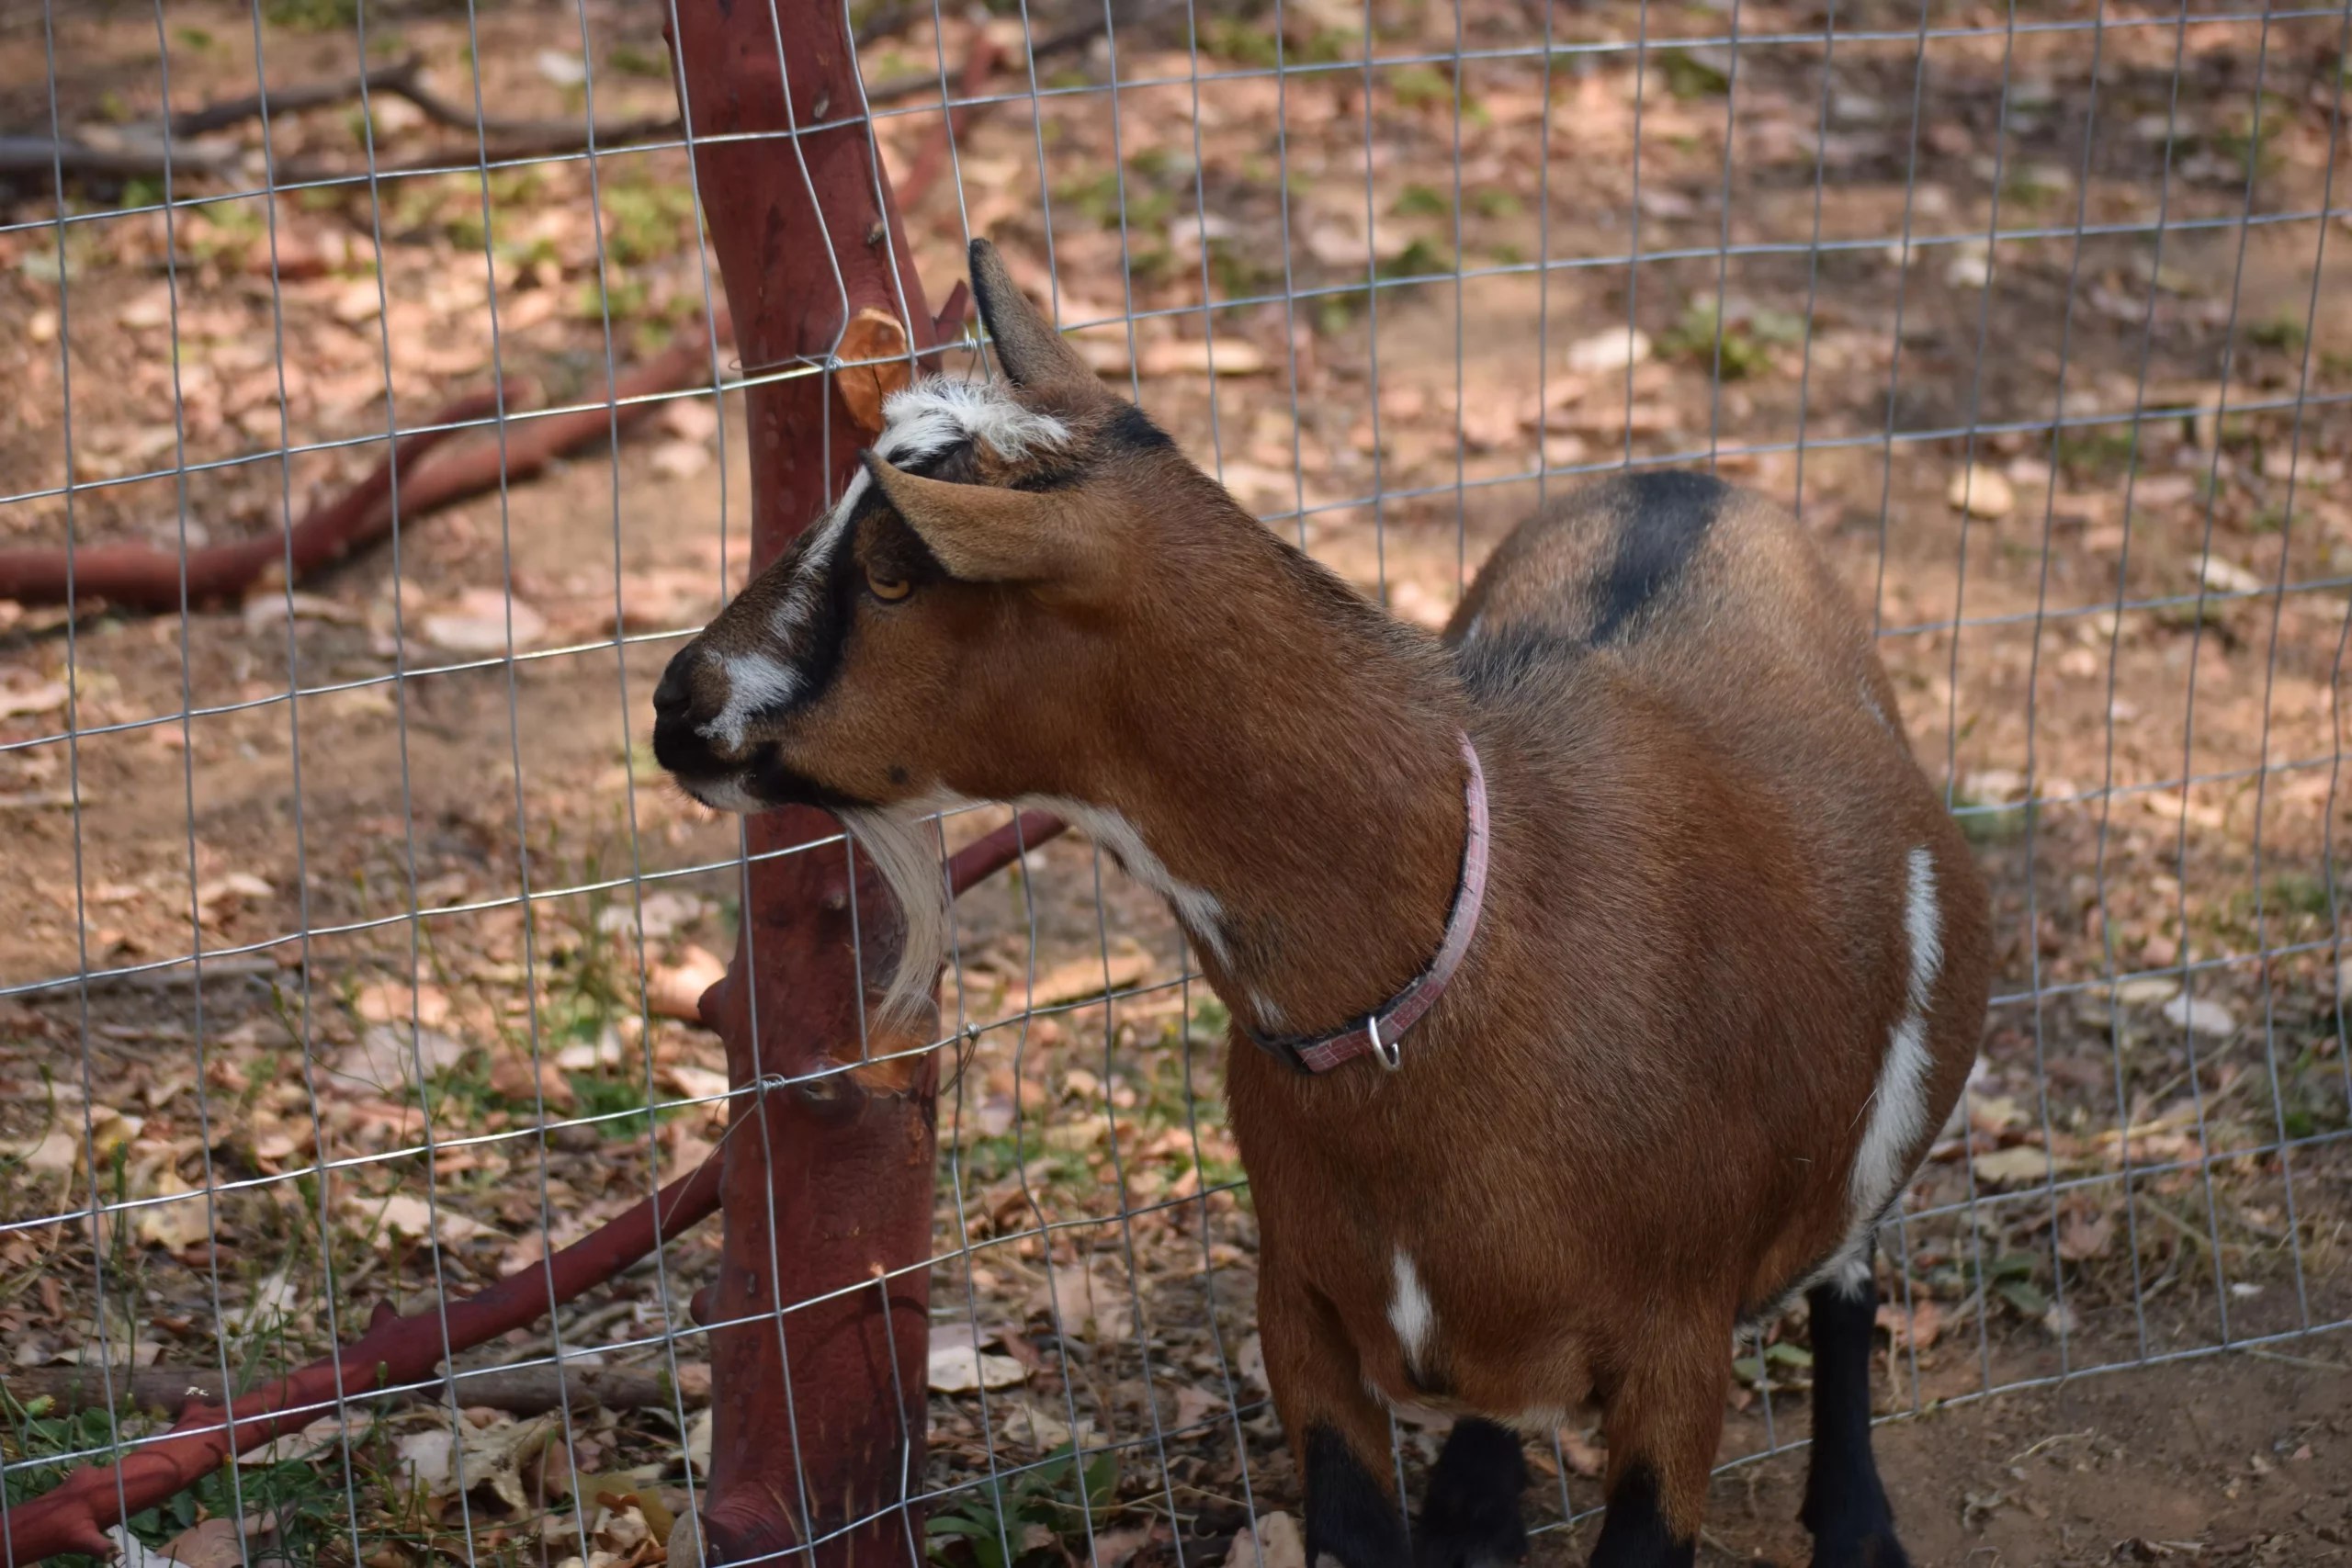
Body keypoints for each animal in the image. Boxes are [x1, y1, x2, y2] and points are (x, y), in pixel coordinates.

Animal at [652, 238, 1993, 1568]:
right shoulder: (1296, 1304)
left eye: (892, 577)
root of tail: (1691, 482)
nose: (676, 701)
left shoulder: (1679, 1348)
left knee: (1851, 1275)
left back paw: (1858, 1525)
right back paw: (1475, 1505)